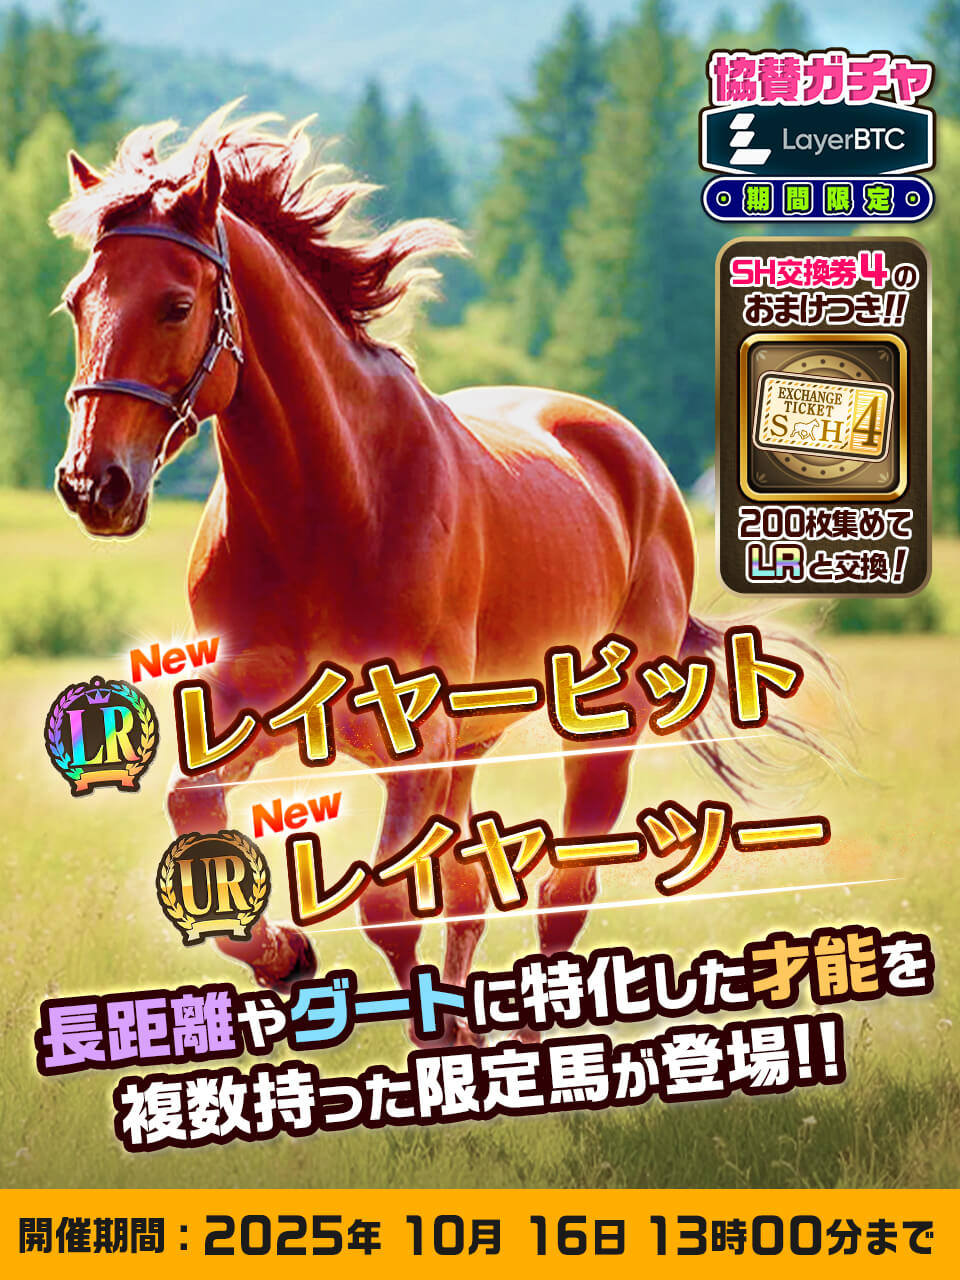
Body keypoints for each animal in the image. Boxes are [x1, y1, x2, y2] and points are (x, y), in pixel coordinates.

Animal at [51, 114, 826, 1037]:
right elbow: (195, 817)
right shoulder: (264, 707)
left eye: (175, 304)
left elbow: (389, 908)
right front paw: (289, 957)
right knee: (471, 890)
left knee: (563, 893)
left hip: (602, 729)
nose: (93, 485)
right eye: (77, 301)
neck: (332, 507)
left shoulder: (417, 739)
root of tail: (637, 463)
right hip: (475, 747)